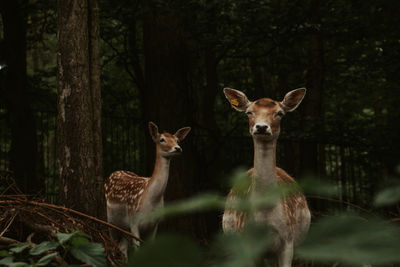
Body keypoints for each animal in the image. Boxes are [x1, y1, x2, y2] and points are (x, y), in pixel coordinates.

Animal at [103, 122, 191, 258]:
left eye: (177, 140)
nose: (177, 148)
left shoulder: (154, 224)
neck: (151, 200)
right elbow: (137, 250)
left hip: (124, 227)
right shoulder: (134, 220)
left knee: (122, 248)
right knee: (113, 244)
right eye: (162, 139)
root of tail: (112, 174)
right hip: (111, 220)